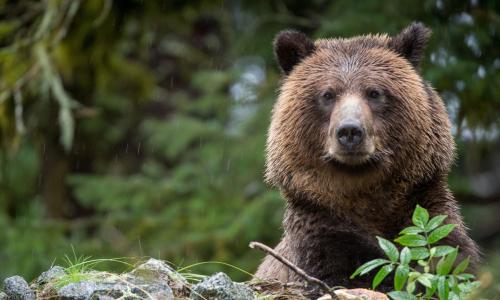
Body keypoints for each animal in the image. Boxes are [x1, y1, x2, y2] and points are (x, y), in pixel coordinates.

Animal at [258, 22, 480, 290]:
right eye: (327, 94)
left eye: (374, 92)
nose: (350, 131)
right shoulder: (320, 229)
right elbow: (343, 272)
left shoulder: (427, 210)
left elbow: (451, 258)